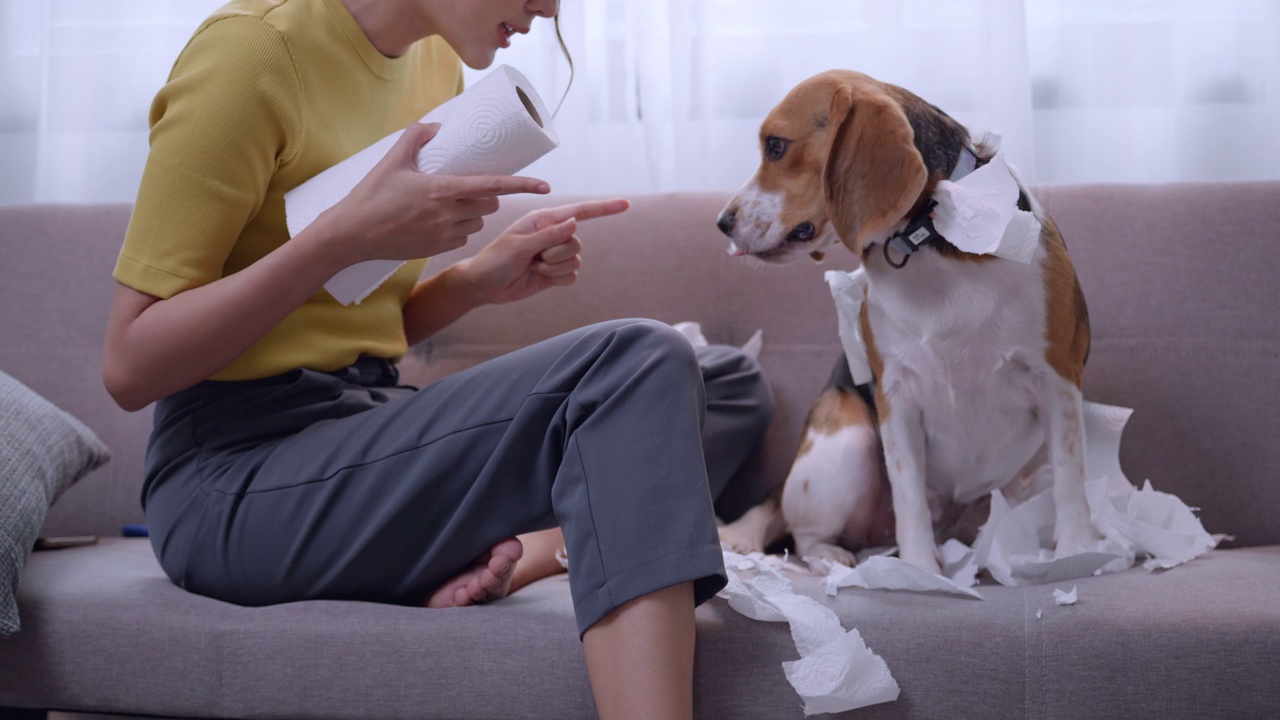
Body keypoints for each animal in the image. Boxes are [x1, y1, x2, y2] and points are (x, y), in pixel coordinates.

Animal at [716, 68, 1095, 571]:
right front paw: (919, 571)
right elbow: (908, 495)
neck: (929, 237)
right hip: (848, 442)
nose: (722, 222)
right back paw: (836, 557)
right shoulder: (897, 396)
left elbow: (1071, 477)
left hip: (1020, 483)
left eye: (776, 146)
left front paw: (1076, 551)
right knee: (805, 538)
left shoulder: (1057, 379)